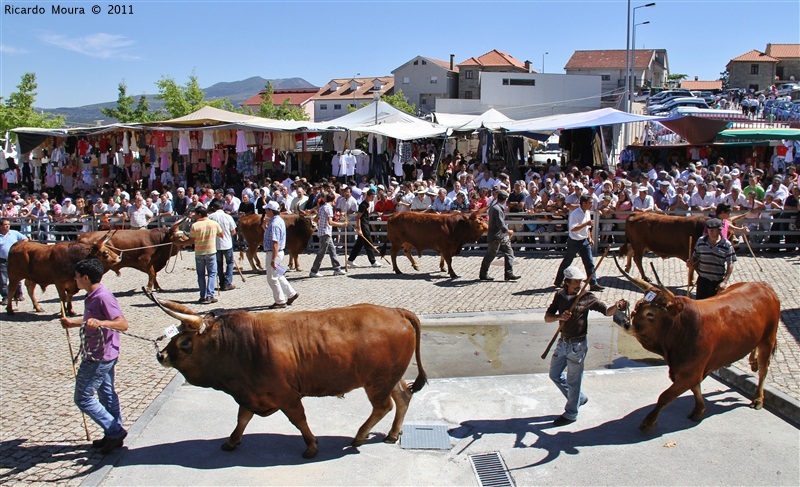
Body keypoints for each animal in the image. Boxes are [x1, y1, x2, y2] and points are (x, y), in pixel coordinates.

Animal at [146, 290, 428, 462]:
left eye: (185, 342)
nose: (161, 355)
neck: (239, 345)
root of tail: (396, 311)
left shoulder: (286, 395)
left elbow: (299, 420)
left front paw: (311, 445)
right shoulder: (251, 394)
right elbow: (242, 418)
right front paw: (232, 441)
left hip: (377, 382)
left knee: (383, 406)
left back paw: (359, 435)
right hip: (391, 377)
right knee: (403, 397)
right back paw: (392, 433)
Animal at [616, 258, 780, 432]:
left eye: (650, 313)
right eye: (637, 306)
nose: (627, 324)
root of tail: (764, 286)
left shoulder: (691, 370)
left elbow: (665, 396)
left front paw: (649, 421)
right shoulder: (688, 369)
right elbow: (695, 388)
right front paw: (699, 409)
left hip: (768, 339)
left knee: (763, 370)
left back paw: (758, 398)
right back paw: (752, 362)